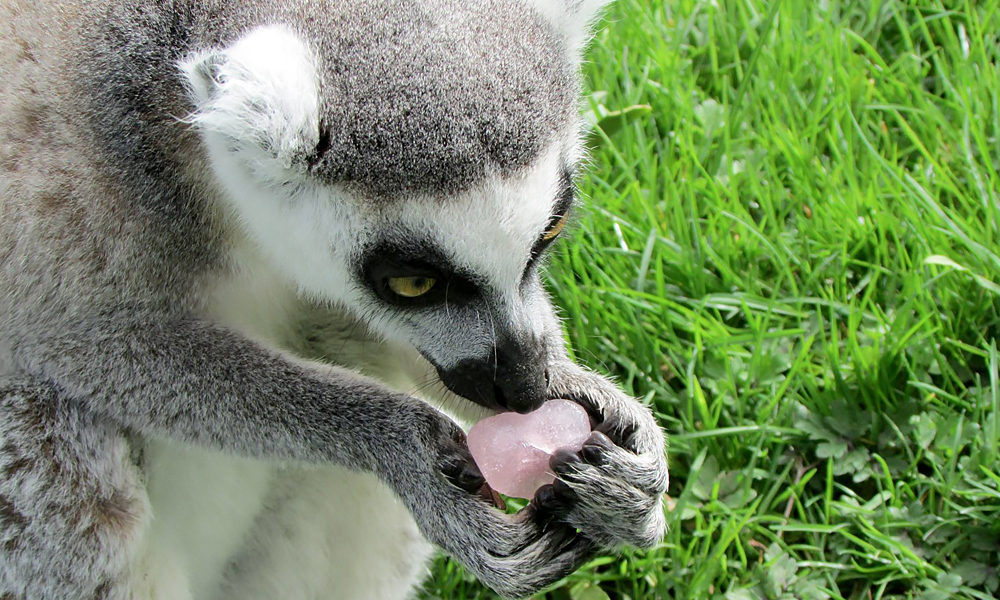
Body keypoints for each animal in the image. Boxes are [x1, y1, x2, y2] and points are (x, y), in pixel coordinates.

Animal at [0, 1, 668, 598]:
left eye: (552, 230)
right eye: (412, 283)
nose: (527, 388)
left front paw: (602, 409)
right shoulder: (63, 192)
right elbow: (81, 340)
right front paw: (405, 448)